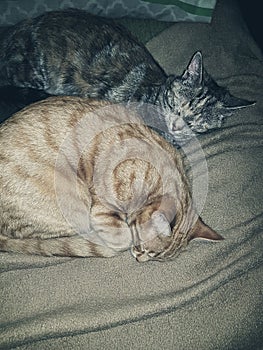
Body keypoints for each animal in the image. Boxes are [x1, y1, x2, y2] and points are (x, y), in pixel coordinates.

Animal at [0, 97, 223, 262]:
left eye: (156, 258)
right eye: (142, 247)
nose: (140, 259)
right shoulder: (102, 206)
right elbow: (123, 235)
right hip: (75, 204)